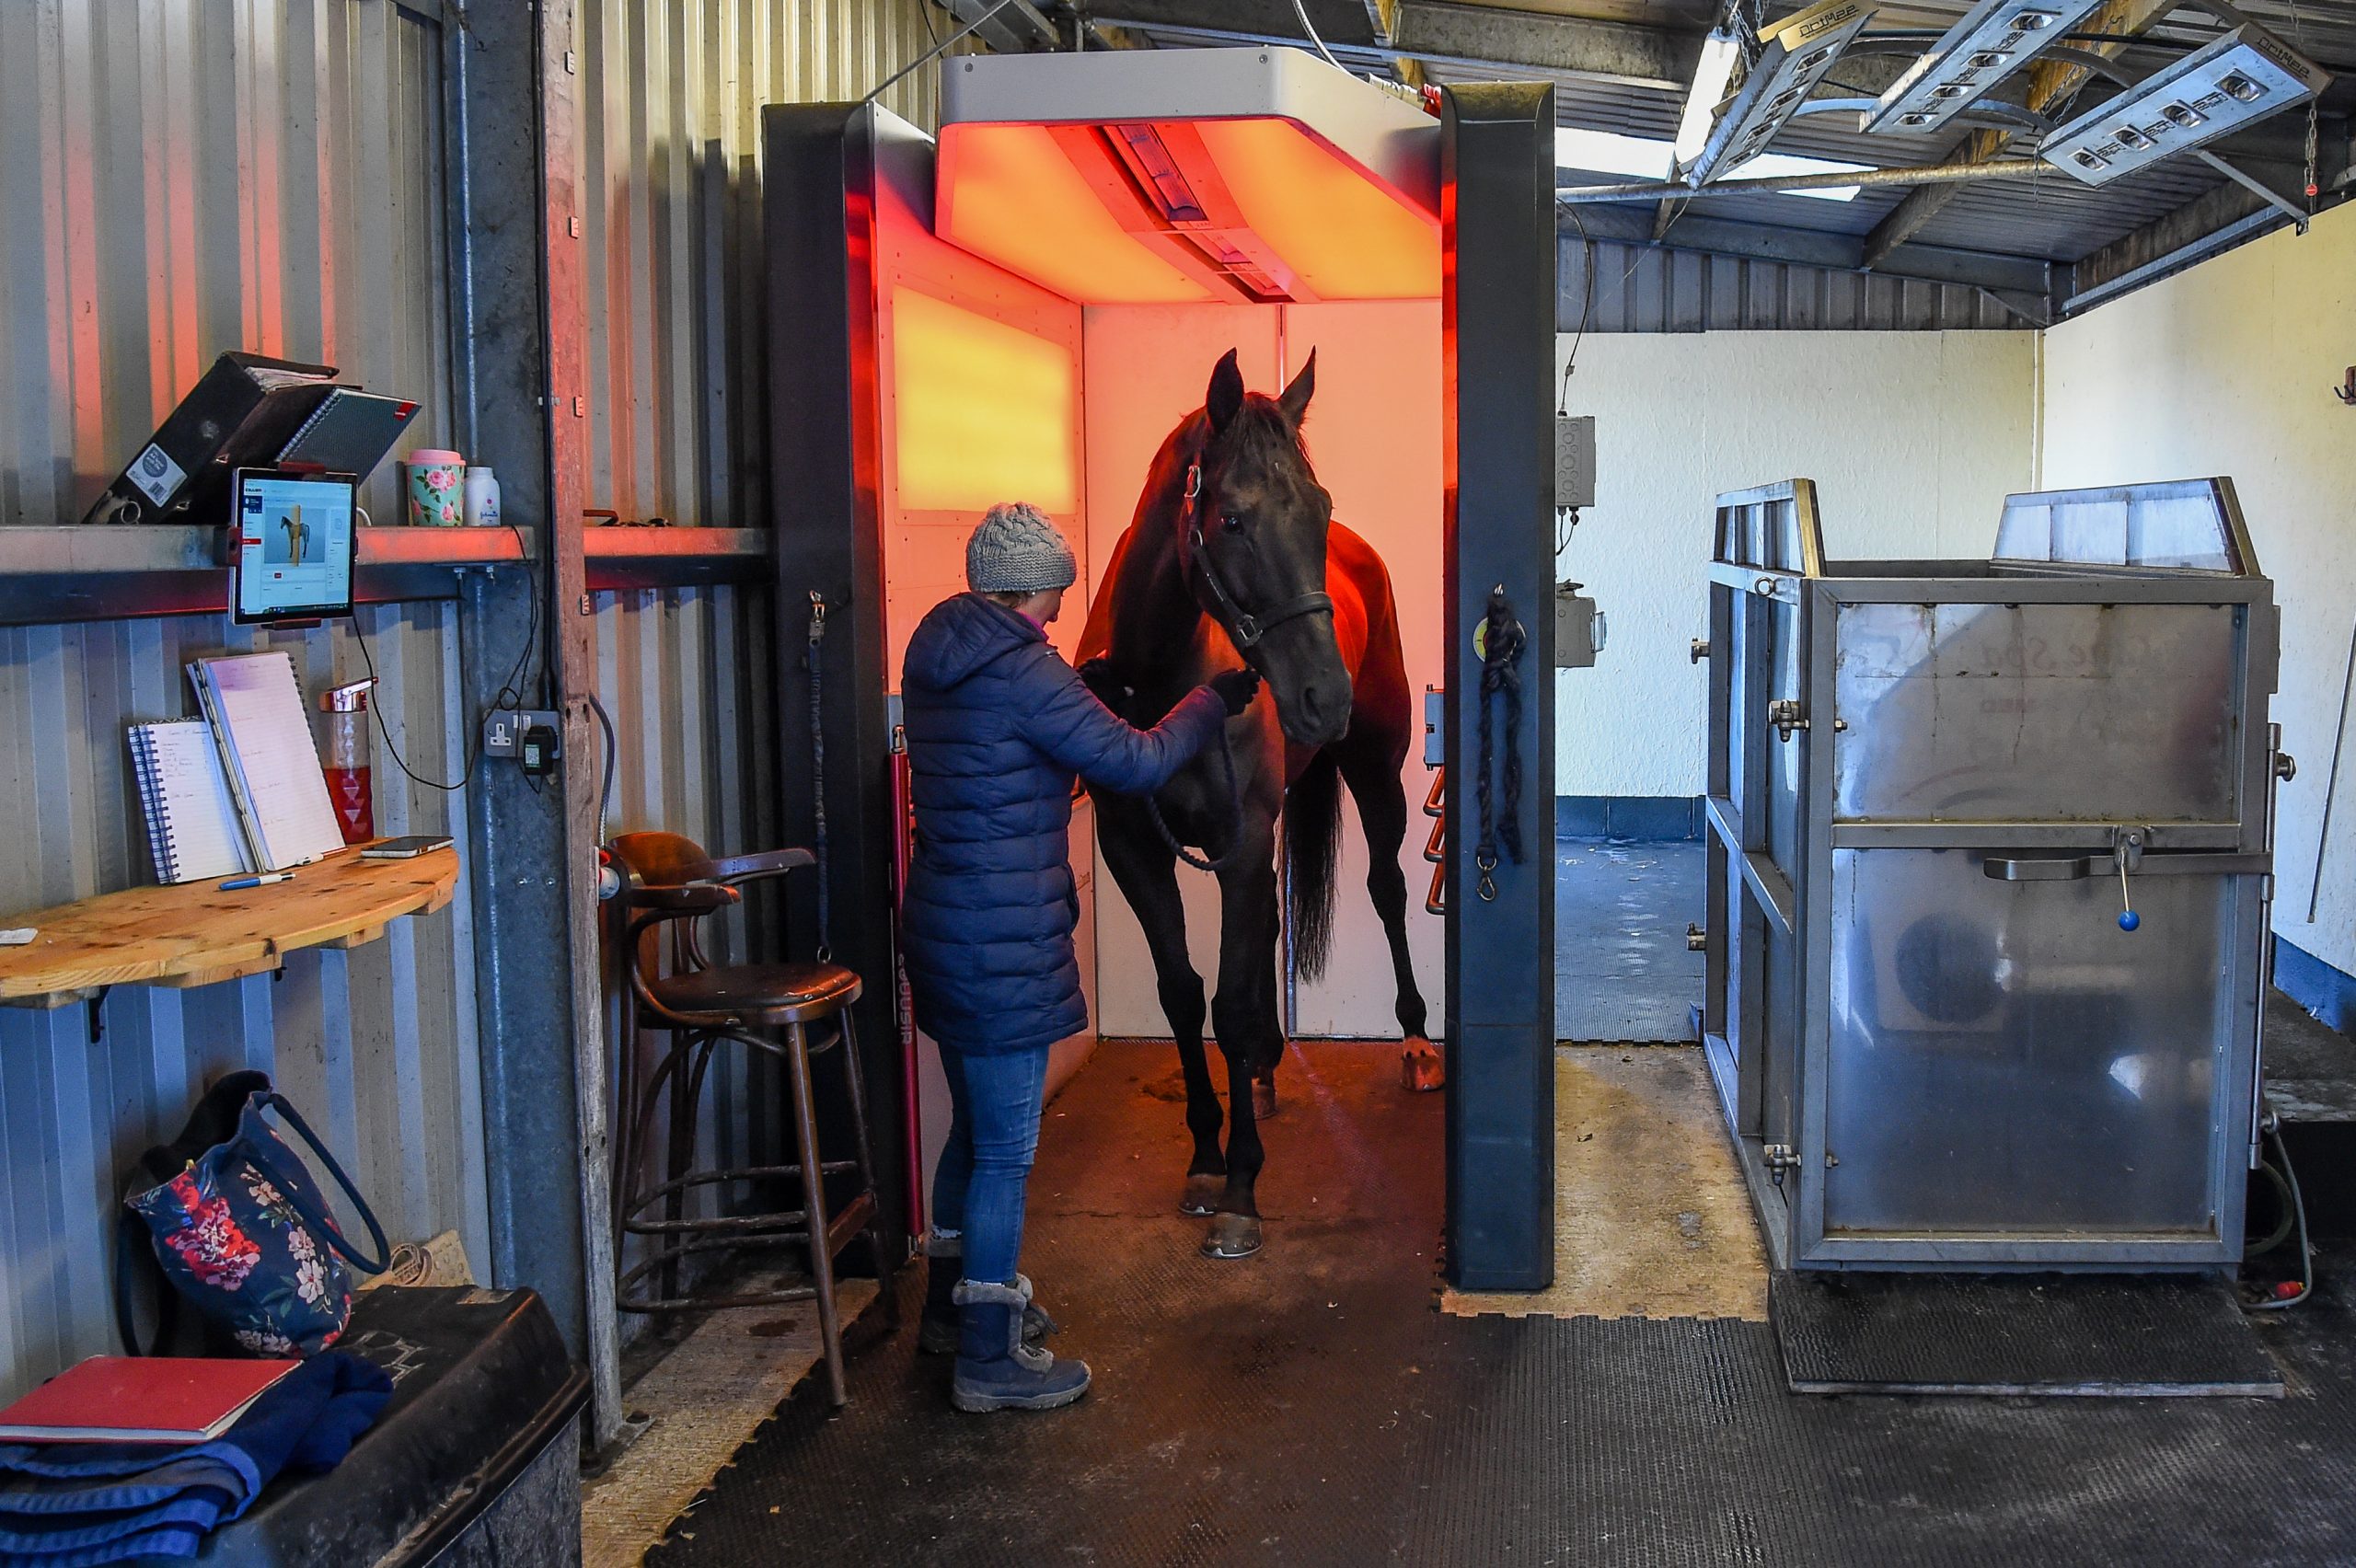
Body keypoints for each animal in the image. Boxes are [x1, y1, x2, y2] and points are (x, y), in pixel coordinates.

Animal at [1079, 348, 1423, 1252]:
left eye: (1318, 507)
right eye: (1230, 519)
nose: (1324, 697)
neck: (1161, 687)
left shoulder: (1237, 843)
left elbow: (1228, 1002)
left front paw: (1241, 1185)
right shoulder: (1133, 850)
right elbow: (1182, 992)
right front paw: (1205, 1153)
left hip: (1374, 770)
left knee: (1388, 889)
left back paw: (1415, 1040)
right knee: (1268, 917)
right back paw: (1265, 1069)